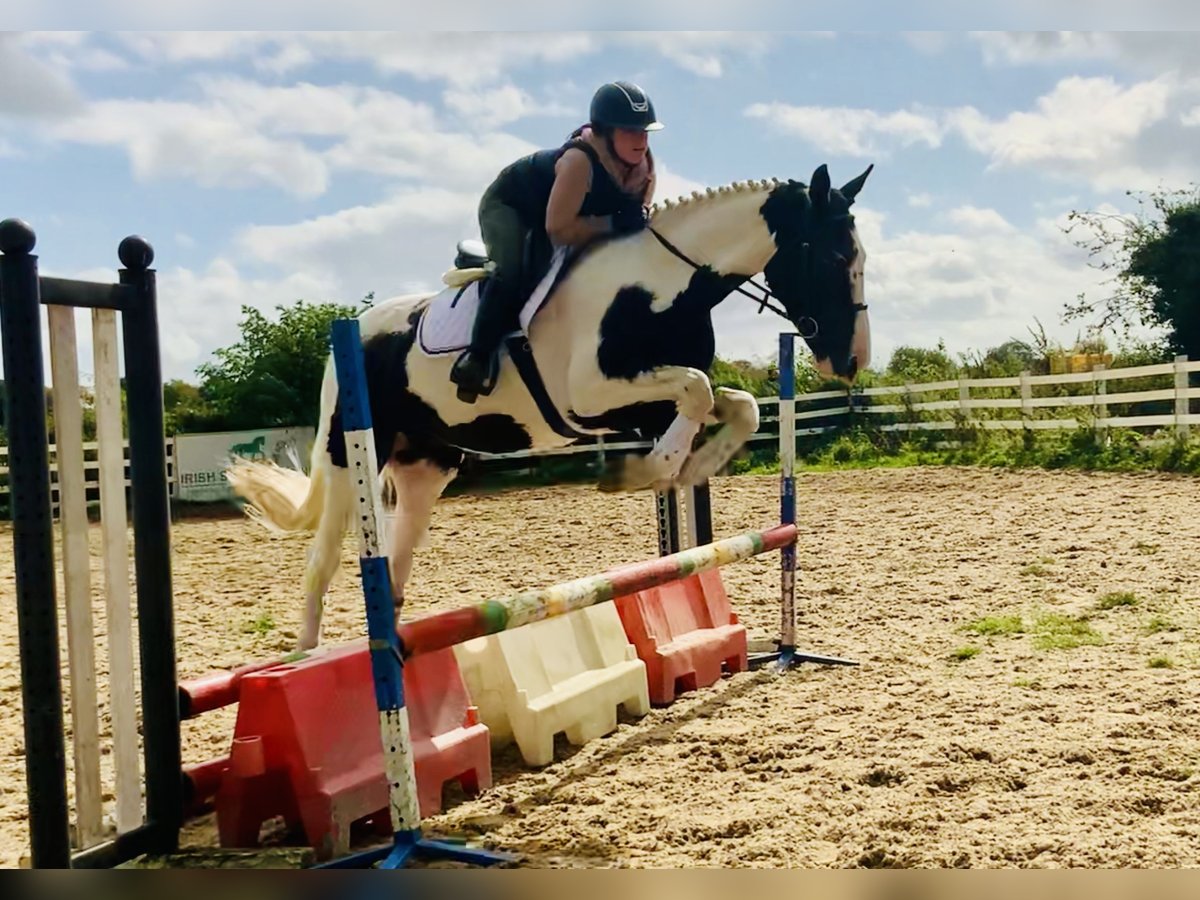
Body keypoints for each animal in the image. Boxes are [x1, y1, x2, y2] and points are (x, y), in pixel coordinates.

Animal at [229, 165, 878, 652]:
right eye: (831, 257)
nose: (852, 361)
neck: (660, 285)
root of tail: (353, 329)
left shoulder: (645, 402)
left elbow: (737, 407)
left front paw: (691, 467)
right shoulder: (592, 397)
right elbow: (694, 390)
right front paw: (640, 472)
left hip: (426, 468)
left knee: (393, 570)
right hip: (350, 455)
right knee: (321, 562)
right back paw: (308, 659)